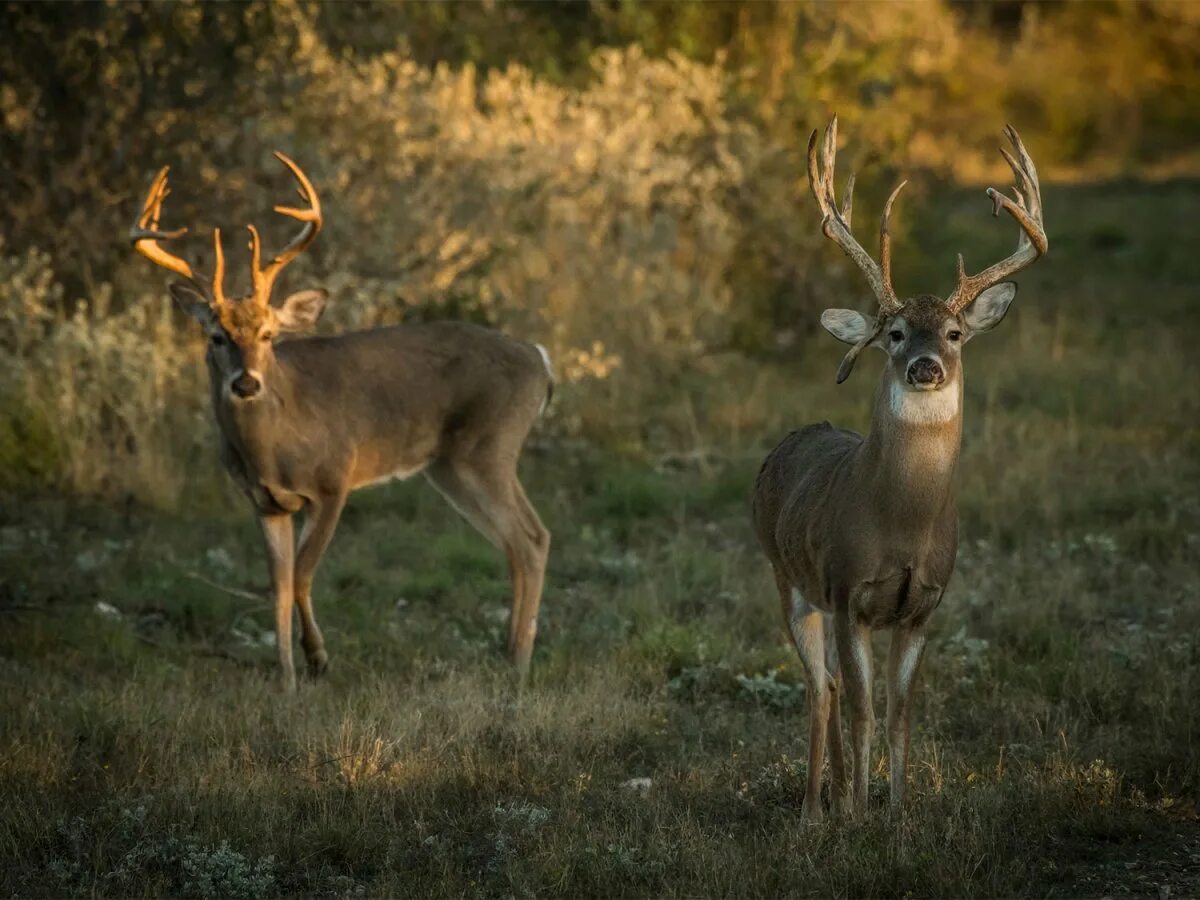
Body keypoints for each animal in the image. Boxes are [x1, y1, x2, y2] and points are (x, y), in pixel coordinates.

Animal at [130, 157, 552, 691]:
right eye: (215, 336)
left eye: (268, 334)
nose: (246, 383)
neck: (275, 445)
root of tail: (539, 359)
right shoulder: (263, 502)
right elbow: (277, 587)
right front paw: (287, 680)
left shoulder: (335, 479)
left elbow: (303, 576)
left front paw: (318, 659)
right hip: (452, 466)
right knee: (521, 540)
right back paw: (508, 654)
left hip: (488, 448)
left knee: (530, 538)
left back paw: (518, 661)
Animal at [753, 116, 1046, 820]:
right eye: (894, 332)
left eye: (955, 334)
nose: (925, 366)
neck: (903, 522)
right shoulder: (847, 592)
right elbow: (863, 710)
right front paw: (861, 815)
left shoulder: (924, 608)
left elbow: (899, 715)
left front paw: (898, 815)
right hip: (788, 579)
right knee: (821, 686)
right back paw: (816, 811)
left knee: (831, 685)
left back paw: (834, 799)